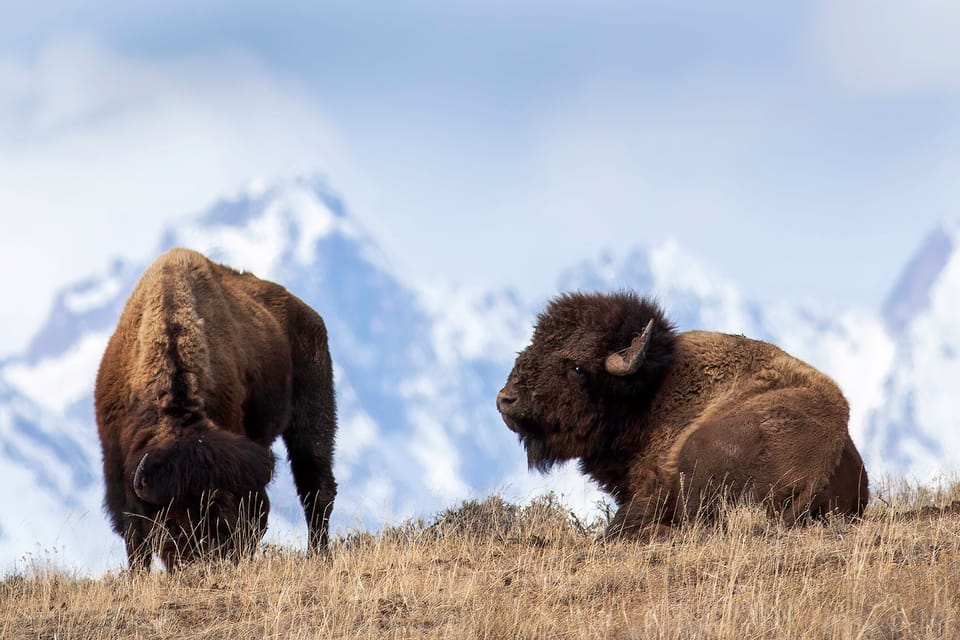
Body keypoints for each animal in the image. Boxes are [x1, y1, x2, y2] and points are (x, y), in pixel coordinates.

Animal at [96, 246, 338, 568]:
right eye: (173, 524)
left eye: (222, 519)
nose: (203, 563)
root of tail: (311, 316)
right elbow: (135, 538)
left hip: (313, 412)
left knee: (316, 487)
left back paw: (318, 553)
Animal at [496, 292, 872, 536]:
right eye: (534, 343)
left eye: (576, 367)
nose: (506, 400)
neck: (651, 392)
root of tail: (827, 457)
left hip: (697, 453)